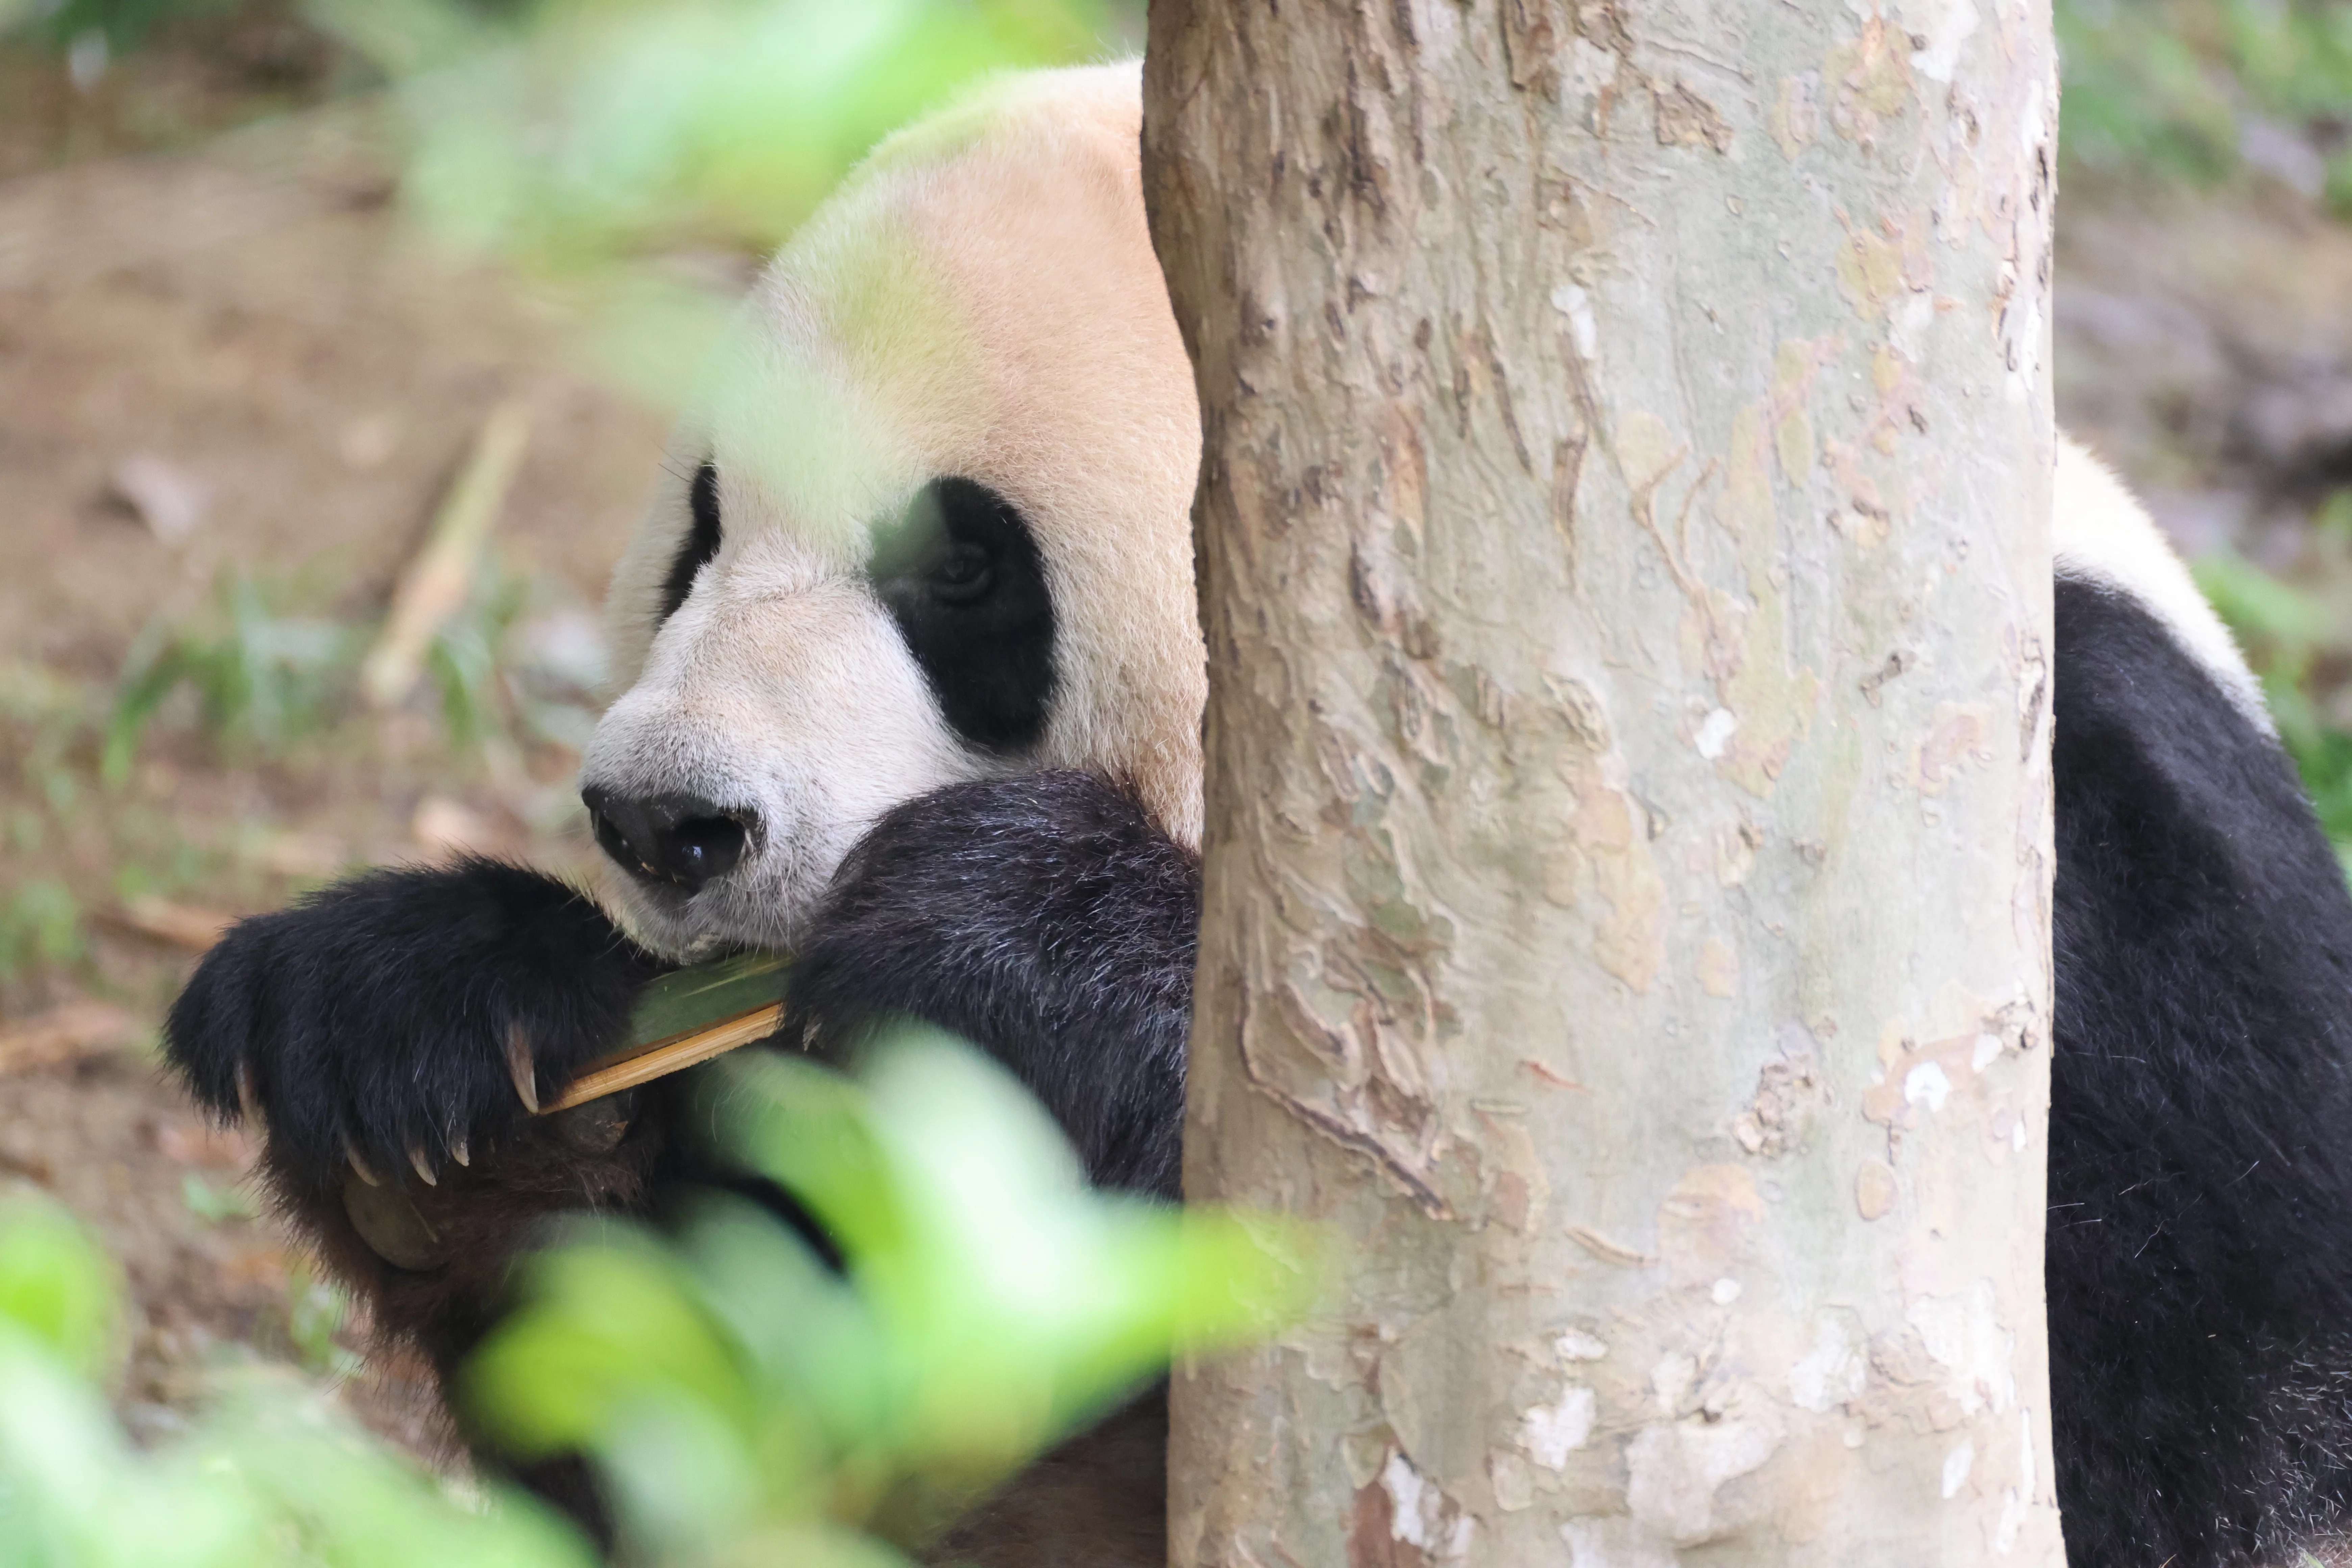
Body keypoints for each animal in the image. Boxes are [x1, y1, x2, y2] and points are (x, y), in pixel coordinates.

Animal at [162, 61, 2352, 1568]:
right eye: (700, 528)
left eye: (965, 574)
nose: (664, 818)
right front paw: (439, 1058)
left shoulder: (2034, 869)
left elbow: (2172, 1383)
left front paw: (1011, 938)